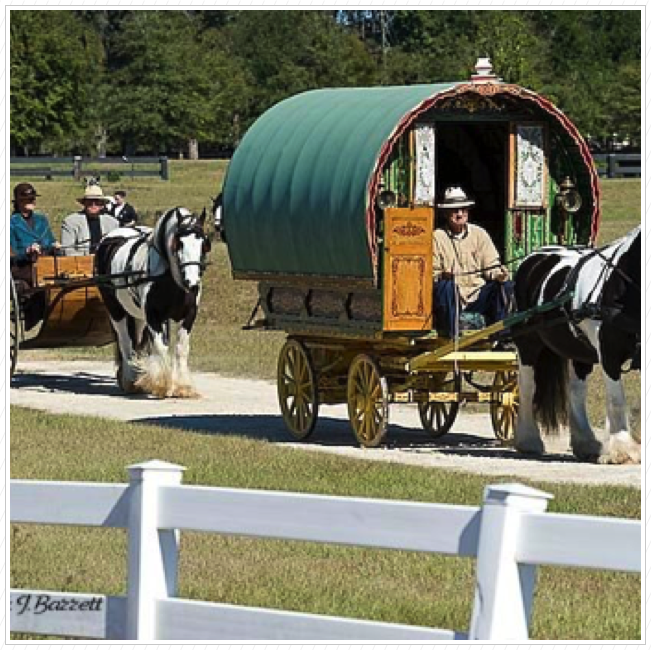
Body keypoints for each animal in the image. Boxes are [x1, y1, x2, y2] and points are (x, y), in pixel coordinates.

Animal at [95, 208, 211, 394]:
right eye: (178, 243)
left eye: (204, 244)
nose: (192, 283)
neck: (169, 278)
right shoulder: (153, 315)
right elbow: (160, 346)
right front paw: (164, 384)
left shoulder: (189, 314)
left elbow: (181, 348)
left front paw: (183, 386)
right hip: (115, 309)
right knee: (125, 340)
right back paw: (130, 378)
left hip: (138, 316)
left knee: (136, 340)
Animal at [516, 225, 640, 464]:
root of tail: (535, 256)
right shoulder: (609, 354)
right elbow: (616, 400)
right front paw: (622, 449)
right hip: (528, 345)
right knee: (527, 388)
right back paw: (528, 440)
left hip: (579, 351)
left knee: (576, 391)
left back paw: (585, 442)